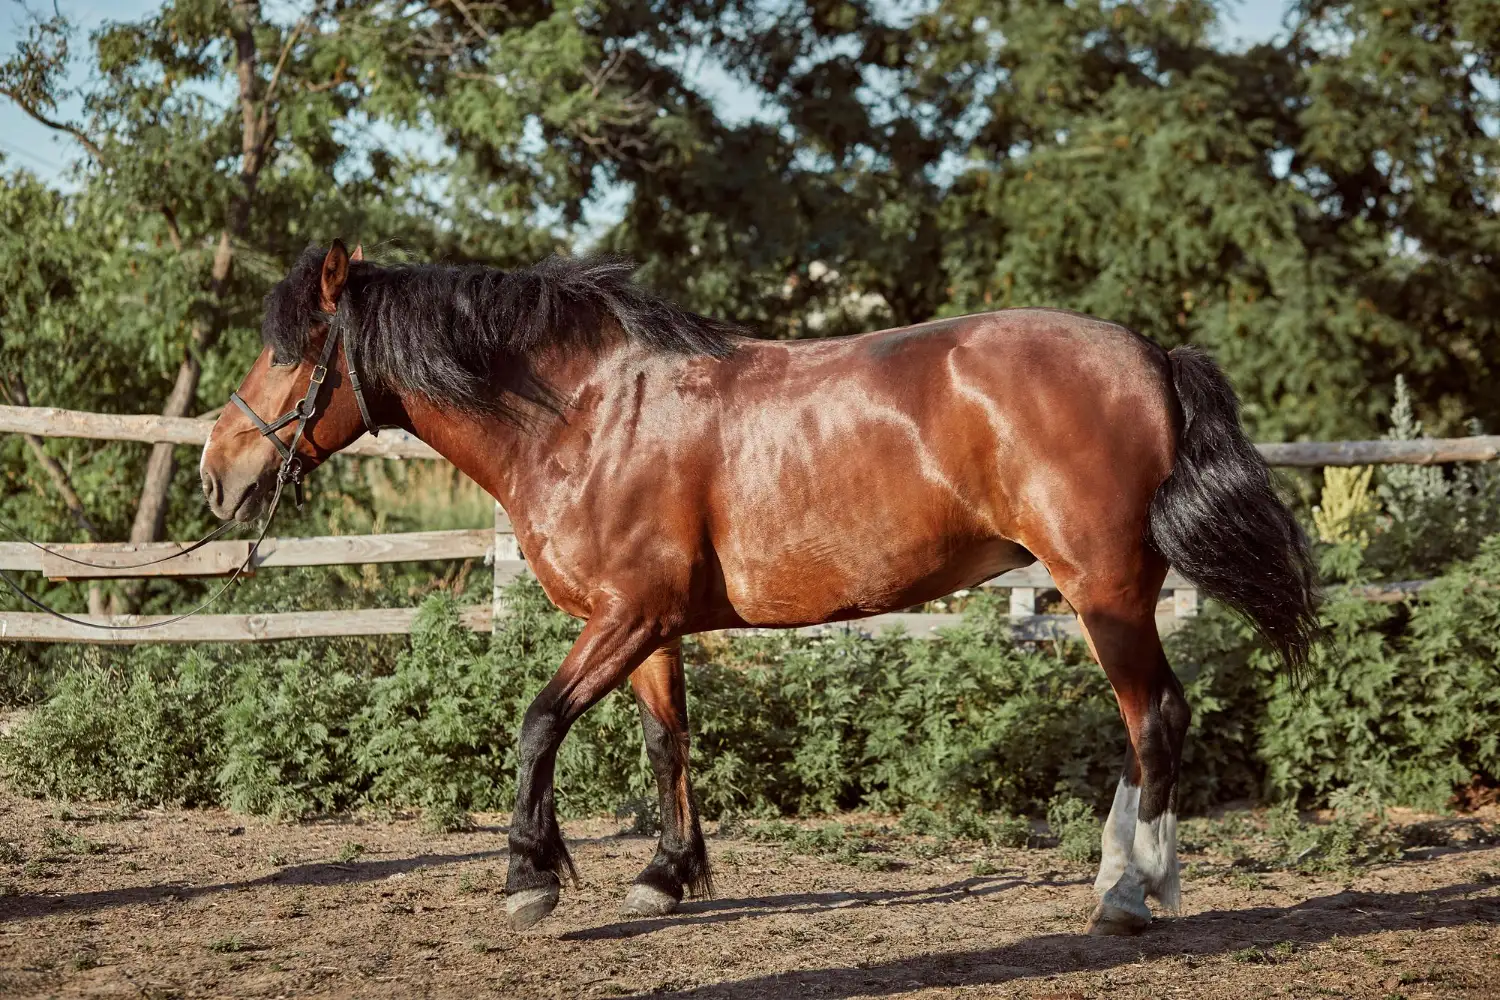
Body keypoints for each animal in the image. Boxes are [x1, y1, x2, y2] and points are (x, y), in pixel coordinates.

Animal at [200, 240, 1319, 936]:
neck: (588, 411)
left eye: (287, 352)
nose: (218, 473)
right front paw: (665, 876)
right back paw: (1123, 876)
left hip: (1105, 590)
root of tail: (1149, 354)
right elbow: (667, 742)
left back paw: (1130, 894)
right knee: (1148, 723)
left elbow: (537, 723)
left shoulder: (626, 616)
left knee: (1155, 716)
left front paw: (528, 878)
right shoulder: (648, 625)